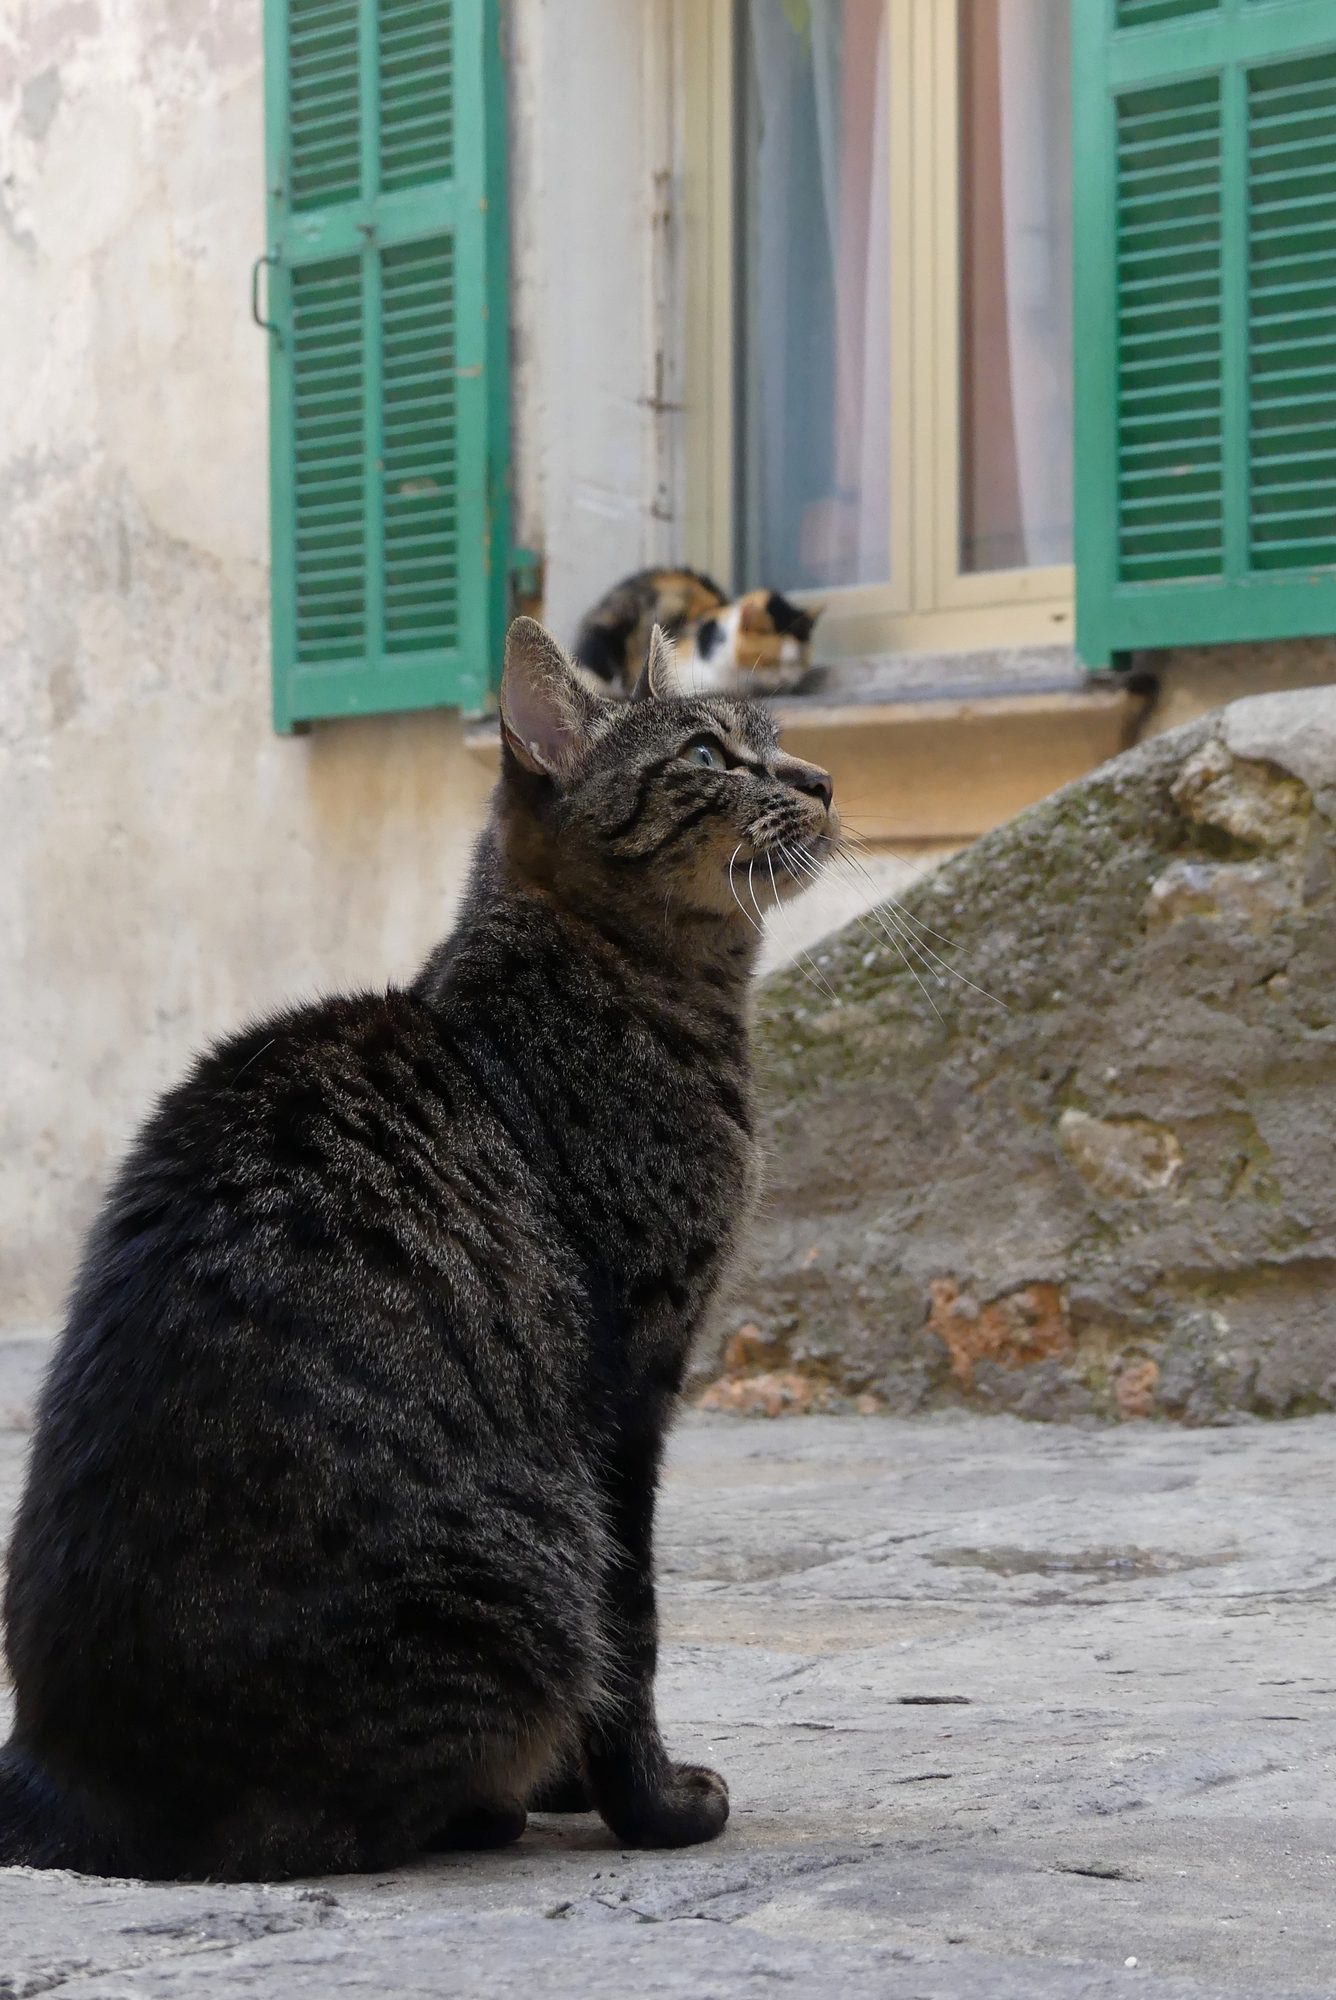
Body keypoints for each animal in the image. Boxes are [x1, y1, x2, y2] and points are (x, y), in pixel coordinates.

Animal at [0, 616, 836, 1880]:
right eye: (709, 754)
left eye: (776, 740)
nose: (820, 779)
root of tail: (57, 1776)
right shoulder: (631, 1391)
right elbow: (632, 1631)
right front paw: (648, 1803)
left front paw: (573, 1784)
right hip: (531, 1552)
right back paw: (483, 1806)